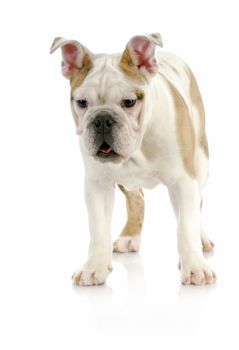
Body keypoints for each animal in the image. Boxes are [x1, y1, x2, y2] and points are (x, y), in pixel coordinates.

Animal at [50, 32, 217, 286]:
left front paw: (196, 267)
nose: (102, 119)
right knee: (137, 198)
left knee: (196, 204)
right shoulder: (98, 184)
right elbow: (98, 228)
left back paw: (201, 240)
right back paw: (130, 237)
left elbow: (186, 225)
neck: (138, 148)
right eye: (81, 103)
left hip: (201, 163)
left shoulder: (183, 180)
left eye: (129, 102)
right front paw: (94, 267)